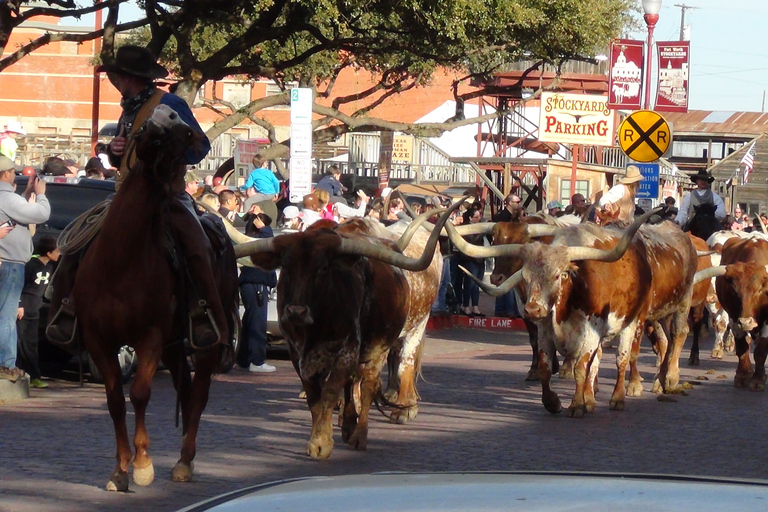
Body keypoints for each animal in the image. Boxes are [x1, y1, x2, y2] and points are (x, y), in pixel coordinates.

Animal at [73, 105, 238, 492]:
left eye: (185, 132)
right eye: (149, 125)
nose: (163, 115)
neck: (120, 261)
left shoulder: (149, 337)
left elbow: (139, 394)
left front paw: (143, 464)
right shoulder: (99, 340)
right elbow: (115, 399)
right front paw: (120, 469)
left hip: (202, 345)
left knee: (199, 394)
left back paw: (185, 461)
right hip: (175, 346)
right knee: (186, 390)